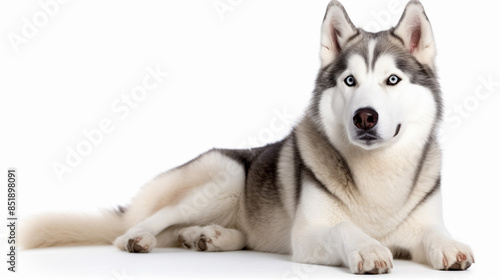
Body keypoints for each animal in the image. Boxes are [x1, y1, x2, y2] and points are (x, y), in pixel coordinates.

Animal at [24, 0, 476, 274]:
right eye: (349, 81)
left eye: (392, 80)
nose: (365, 117)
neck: (377, 176)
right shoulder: (307, 237)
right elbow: (343, 229)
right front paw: (367, 248)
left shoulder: (423, 223)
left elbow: (436, 234)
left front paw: (451, 246)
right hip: (224, 174)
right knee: (144, 224)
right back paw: (142, 237)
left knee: (193, 231)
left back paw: (207, 237)